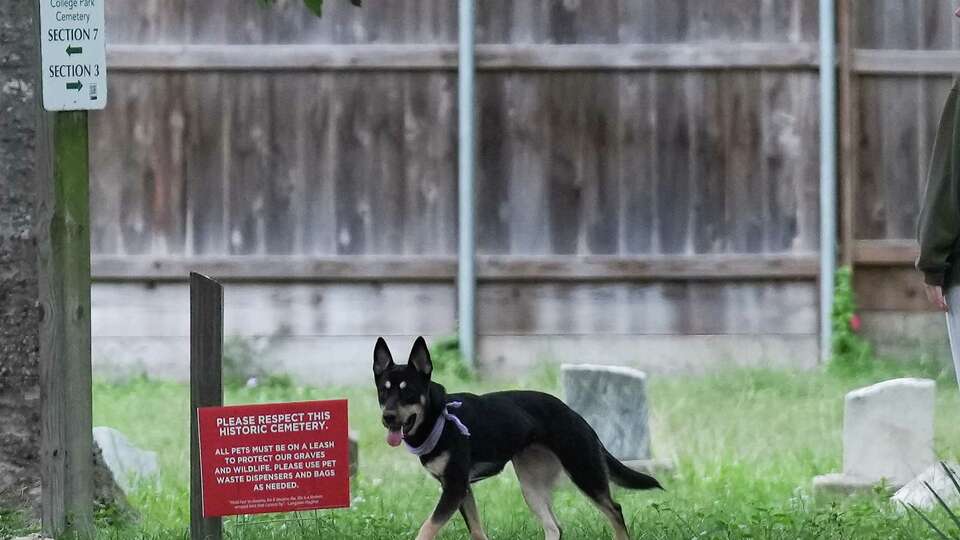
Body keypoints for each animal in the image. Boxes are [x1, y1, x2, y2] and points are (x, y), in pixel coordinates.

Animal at [374, 338, 660, 540]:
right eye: (383, 392)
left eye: (408, 392)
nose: (387, 417)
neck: (439, 419)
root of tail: (576, 415)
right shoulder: (461, 489)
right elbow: (477, 531)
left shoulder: (454, 488)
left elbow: (426, 528)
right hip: (531, 486)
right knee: (554, 527)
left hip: (584, 472)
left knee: (615, 510)